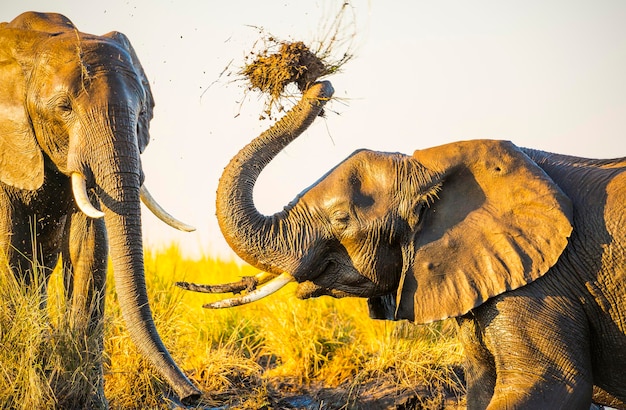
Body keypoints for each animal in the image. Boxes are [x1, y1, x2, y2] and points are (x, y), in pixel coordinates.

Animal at [0, 11, 200, 406]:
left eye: (142, 112)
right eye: (64, 108)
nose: (192, 396)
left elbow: (89, 247)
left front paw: (84, 402)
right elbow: (8, 251)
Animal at [194, 81, 624, 410]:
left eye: (341, 219)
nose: (322, 85)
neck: (430, 170)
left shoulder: (543, 281)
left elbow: (553, 385)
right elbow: (482, 388)